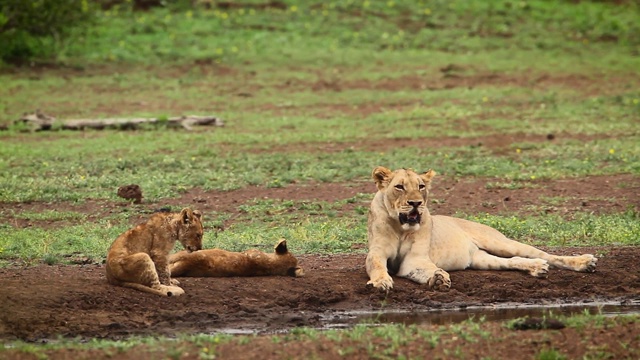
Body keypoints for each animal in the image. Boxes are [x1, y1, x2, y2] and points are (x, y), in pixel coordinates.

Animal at [368, 167, 596, 292]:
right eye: (399, 187)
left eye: (421, 186)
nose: (416, 203)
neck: (401, 227)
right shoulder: (377, 252)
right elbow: (378, 266)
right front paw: (382, 282)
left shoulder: (415, 259)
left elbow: (427, 268)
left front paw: (439, 278)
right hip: (481, 259)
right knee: (512, 261)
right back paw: (537, 268)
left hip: (501, 242)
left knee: (546, 255)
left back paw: (584, 262)